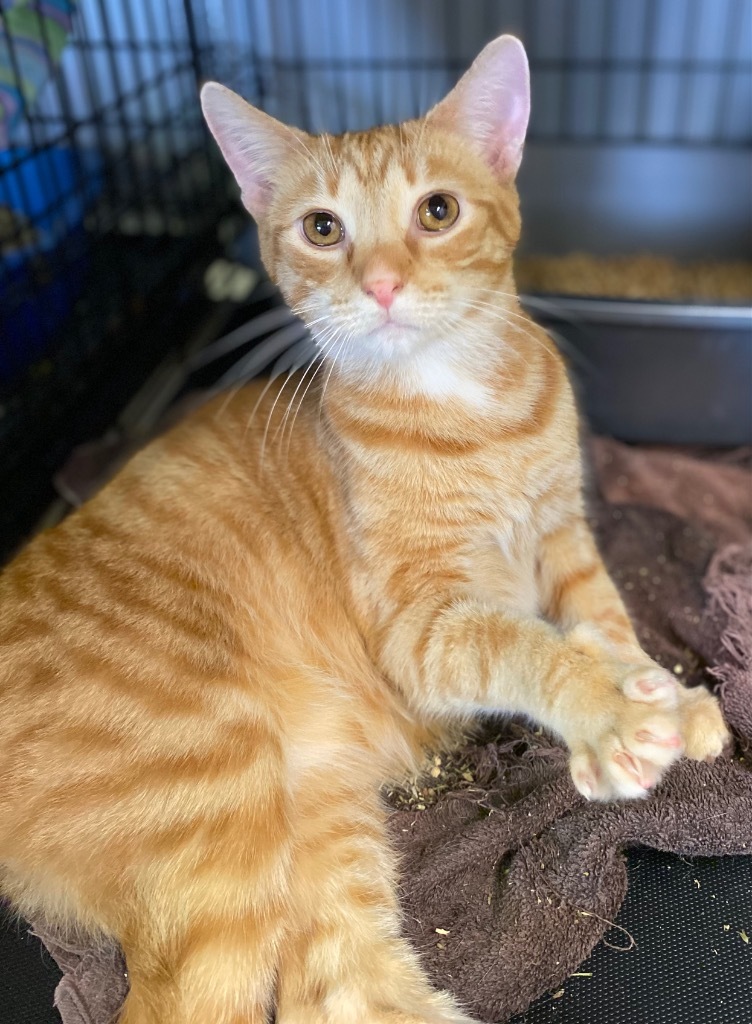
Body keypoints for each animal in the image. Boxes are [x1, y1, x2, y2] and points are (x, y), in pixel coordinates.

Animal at [0, 34, 729, 1024]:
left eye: (438, 211)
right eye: (322, 229)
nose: (381, 284)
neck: (471, 412)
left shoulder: (562, 538)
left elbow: (605, 620)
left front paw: (661, 693)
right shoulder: (419, 629)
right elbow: (527, 643)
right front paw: (609, 710)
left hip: (314, 808)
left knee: (335, 989)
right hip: (215, 800)